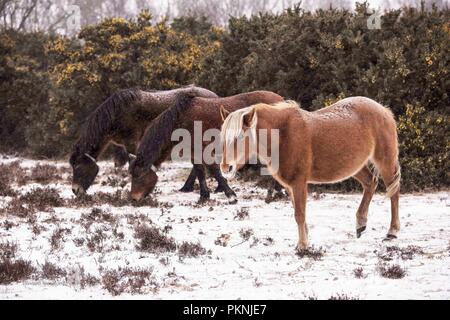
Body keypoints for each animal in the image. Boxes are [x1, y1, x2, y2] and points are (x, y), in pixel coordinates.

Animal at [69, 85, 219, 195]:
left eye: (78, 166)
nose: (75, 190)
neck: (117, 113)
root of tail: (215, 96)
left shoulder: (132, 143)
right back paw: (187, 188)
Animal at [128, 90, 284, 201]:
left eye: (139, 176)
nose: (134, 198)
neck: (180, 121)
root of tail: (281, 100)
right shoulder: (194, 152)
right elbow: (200, 171)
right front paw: (204, 195)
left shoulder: (205, 151)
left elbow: (214, 171)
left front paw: (230, 194)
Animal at [221, 97, 400, 250]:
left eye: (239, 137)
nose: (225, 168)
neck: (283, 135)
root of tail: (384, 110)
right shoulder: (290, 187)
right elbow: (298, 213)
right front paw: (305, 239)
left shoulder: (299, 183)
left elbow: (299, 214)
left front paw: (302, 246)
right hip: (355, 167)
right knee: (371, 183)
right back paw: (360, 224)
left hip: (385, 161)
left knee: (393, 192)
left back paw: (392, 232)